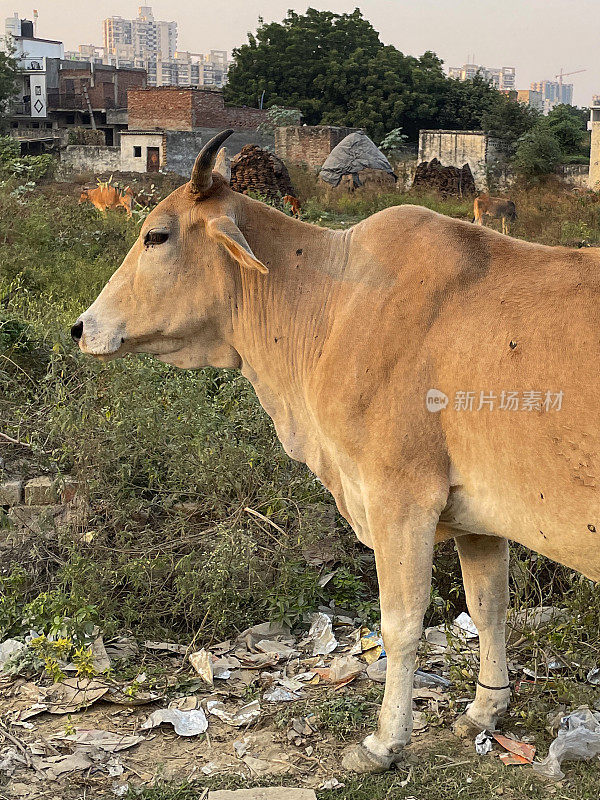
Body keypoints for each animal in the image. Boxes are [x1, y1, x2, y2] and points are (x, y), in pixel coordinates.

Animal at [72, 130, 600, 768]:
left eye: (157, 235)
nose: (81, 327)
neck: (331, 302)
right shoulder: (478, 517)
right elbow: (488, 606)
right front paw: (483, 709)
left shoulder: (399, 498)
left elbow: (401, 623)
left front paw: (384, 741)